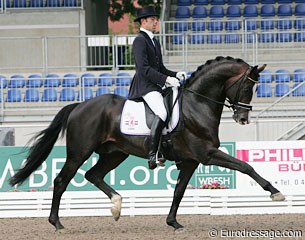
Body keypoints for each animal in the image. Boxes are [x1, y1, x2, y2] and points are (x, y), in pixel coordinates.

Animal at [9, 56, 284, 231]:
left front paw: (173, 222)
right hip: (79, 152)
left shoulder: (191, 161)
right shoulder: (206, 154)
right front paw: (275, 192)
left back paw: (117, 206)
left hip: (115, 153)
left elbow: (179, 191)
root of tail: (79, 105)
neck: (197, 104)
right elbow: (246, 166)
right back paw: (56, 222)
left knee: (93, 175)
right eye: (247, 87)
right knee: (61, 181)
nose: (243, 118)